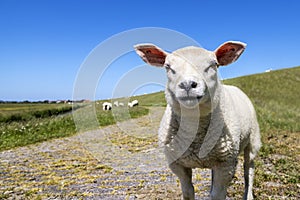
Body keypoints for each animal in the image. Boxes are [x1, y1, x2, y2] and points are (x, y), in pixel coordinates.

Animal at [135, 41, 262, 200]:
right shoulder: (178, 164)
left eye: (213, 64)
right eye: (168, 66)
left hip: (252, 141)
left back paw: (248, 194)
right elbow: (188, 192)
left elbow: (217, 195)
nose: (188, 84)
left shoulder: (226, 164)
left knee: (249, 170)